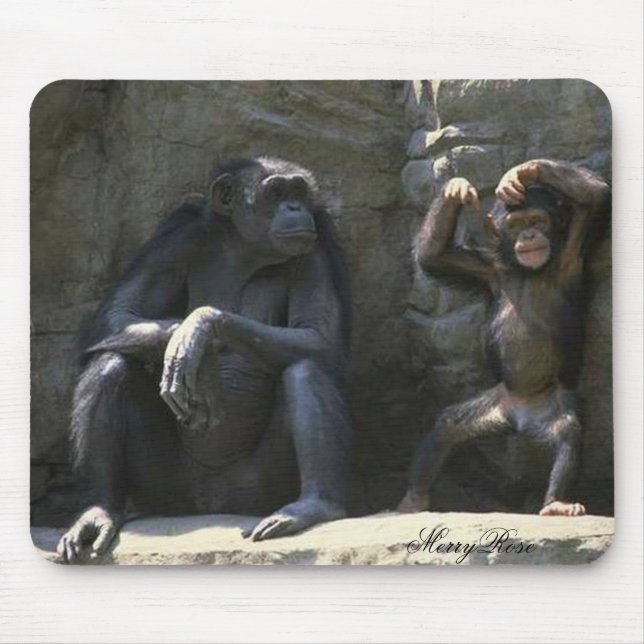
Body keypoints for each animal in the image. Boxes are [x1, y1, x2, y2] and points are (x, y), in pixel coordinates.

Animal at [56, 157, 351, 562]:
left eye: (299, 191)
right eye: (276, 192)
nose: (294, 207)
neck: (244, 250)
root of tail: (211, 507)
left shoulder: (316, 247)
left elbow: (319, 338)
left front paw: (200, 329)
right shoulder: (176, 241)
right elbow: (118, 313)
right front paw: (188, 346)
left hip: (255, 488)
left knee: (305, 368)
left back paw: (310, 507)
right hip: (166, 487)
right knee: (111, 362)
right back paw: (97, 512)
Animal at [397, 159, 610, 517]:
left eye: (537, 220)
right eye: (516, 224)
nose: (529, 234)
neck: (530, 270)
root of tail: (522, 420)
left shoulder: (573, 250)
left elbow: (596, 195)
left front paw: (523, 172)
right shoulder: (486, 269)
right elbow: (432, 257)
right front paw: (455, 188)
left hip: (552, 406)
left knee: (569, 433)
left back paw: (556, 503)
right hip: (497, 402)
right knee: (446, 426)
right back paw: (414, 499)